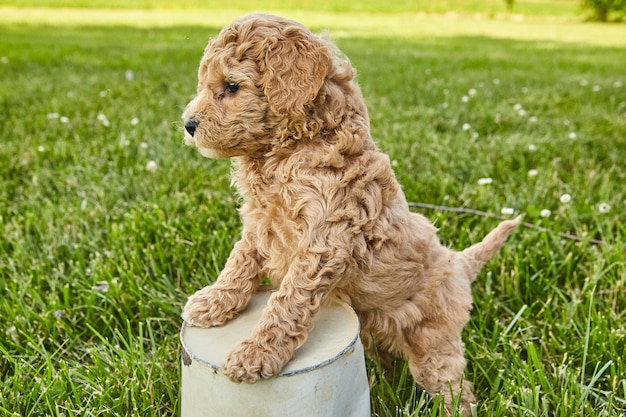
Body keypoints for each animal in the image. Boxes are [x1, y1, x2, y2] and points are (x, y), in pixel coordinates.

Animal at [180, 12, 516, 412]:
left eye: (231, 86)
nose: (188, 125)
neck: (294, 147)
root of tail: (458, 264)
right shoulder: (261, 222)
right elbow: (239, 262)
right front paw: (215, 302)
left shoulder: (323, 240)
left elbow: (286, 301)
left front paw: (256, 354)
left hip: (434, 343)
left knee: (454, 386)